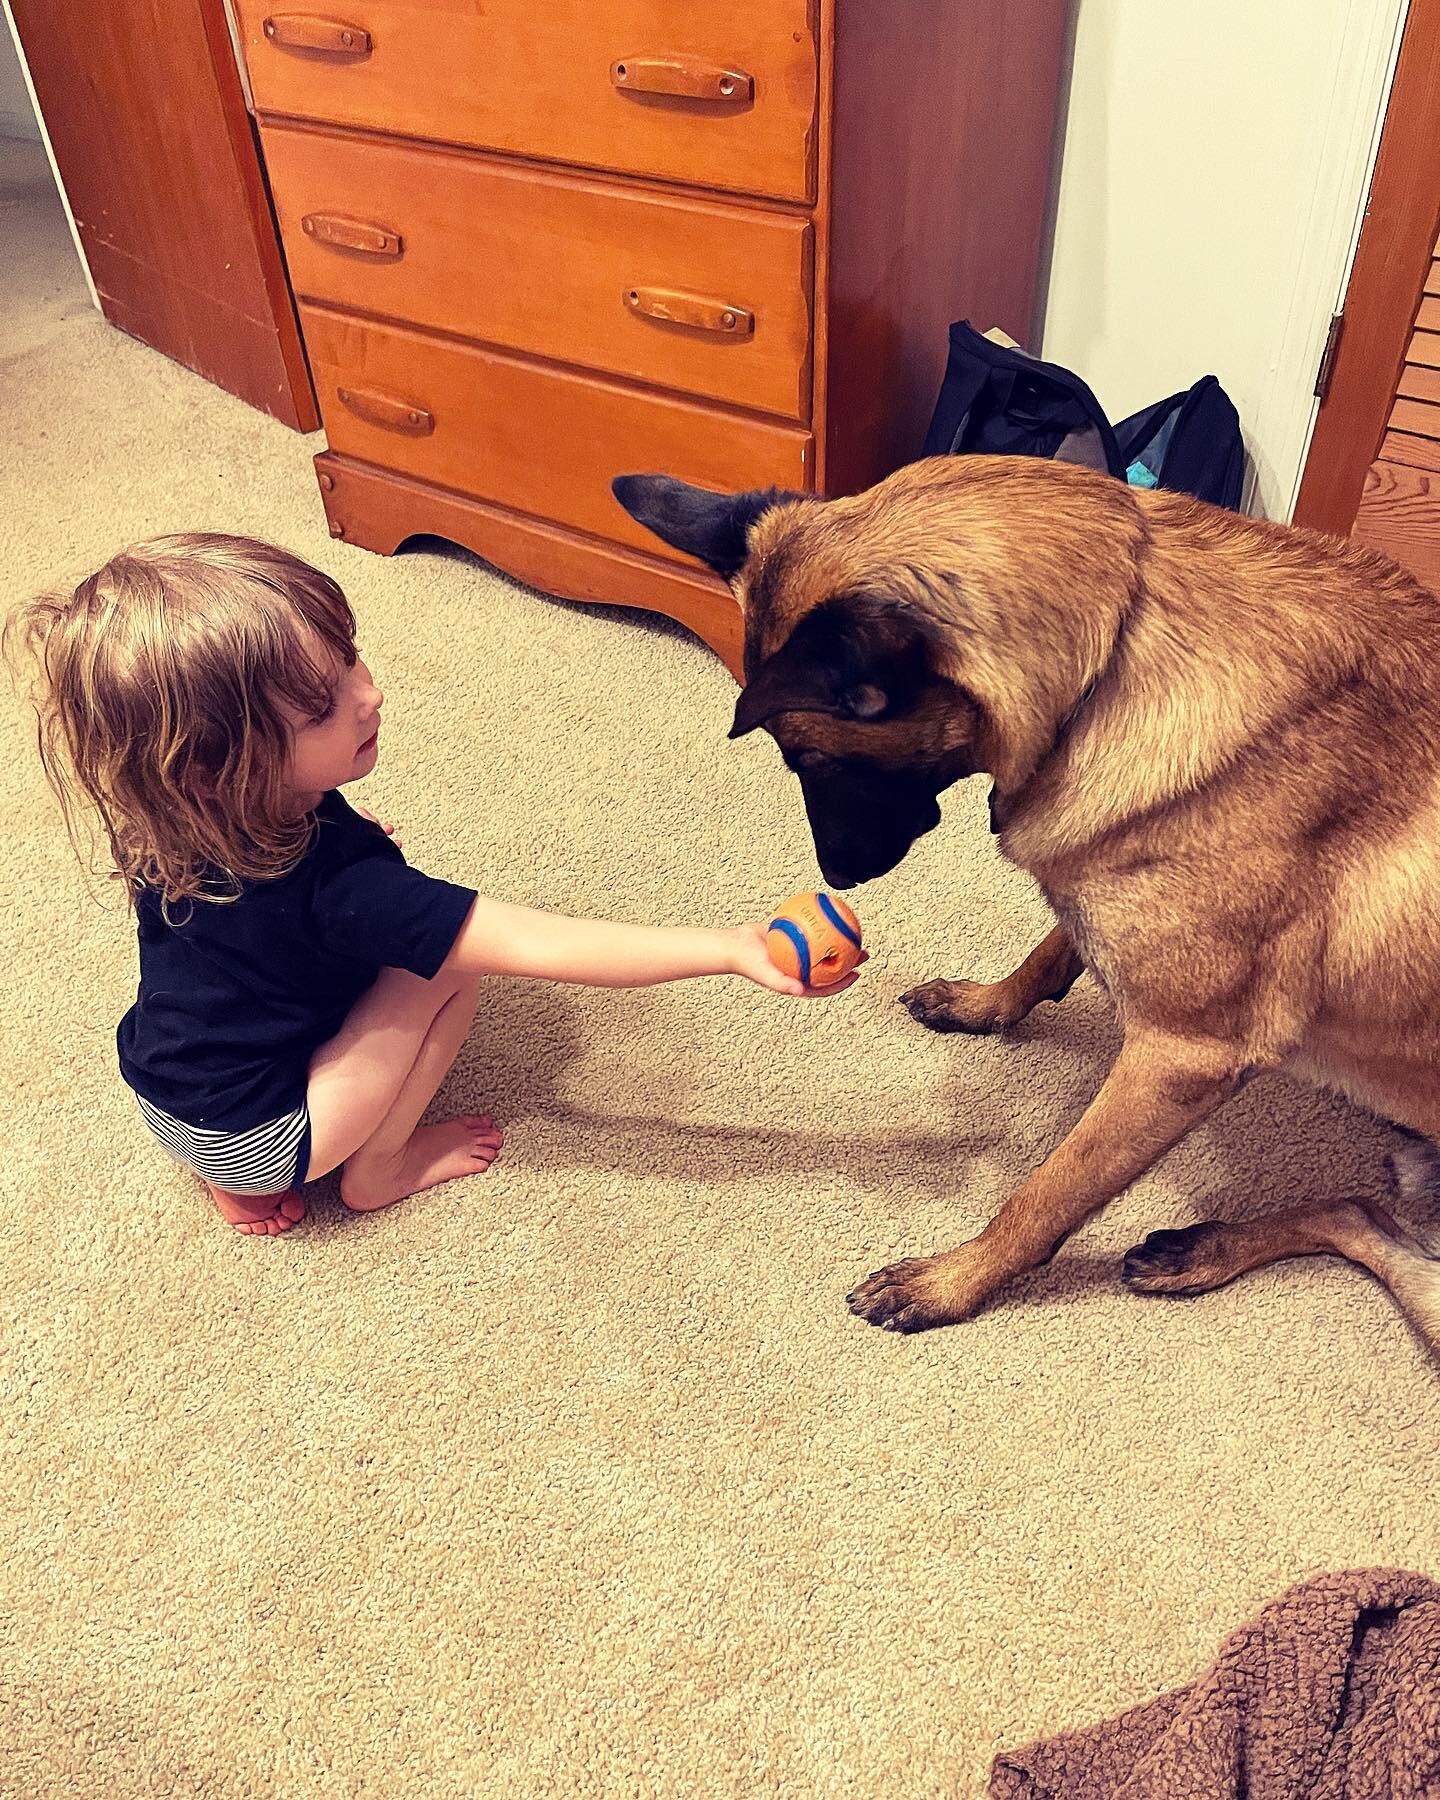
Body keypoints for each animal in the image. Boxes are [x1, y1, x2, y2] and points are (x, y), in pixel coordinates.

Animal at [612, 457, 1440, 1346]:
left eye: (810, 758)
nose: (840, 877)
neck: (1112, 661)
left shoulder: (1181, 1055)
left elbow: (1046, 1194)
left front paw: (954, 1282)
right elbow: (1051, 946)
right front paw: (986, 1003)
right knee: (1358, 1213)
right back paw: (1197, 1252)